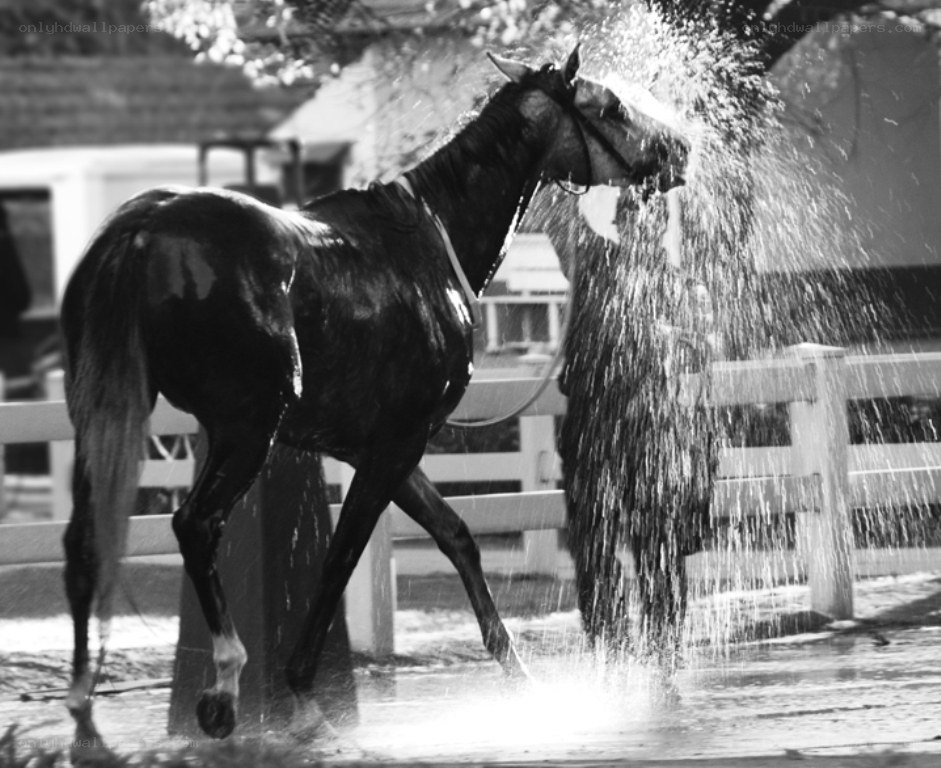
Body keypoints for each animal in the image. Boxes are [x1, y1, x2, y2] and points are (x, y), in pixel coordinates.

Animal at [60, 46, 688, 748]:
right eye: (610, 105)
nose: (680, 149)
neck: (429, 244)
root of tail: (143, 226)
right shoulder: (393, 446)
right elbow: (341, 558)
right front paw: (303, 695)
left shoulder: (383, 448)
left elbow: (456, 535)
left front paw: (519, 674)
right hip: (245, 428)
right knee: (195, 524)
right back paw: (222, 686)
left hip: (104, 412)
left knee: (84, 539)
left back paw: (85, 712)